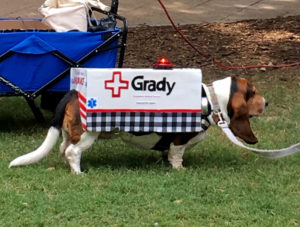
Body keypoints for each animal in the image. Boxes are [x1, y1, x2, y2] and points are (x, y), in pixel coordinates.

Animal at [8, 76, 268, 174]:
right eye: (253, 92)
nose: (267, 102)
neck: (210, 99)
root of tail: (72, 92)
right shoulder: (180, 140)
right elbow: (176, 155)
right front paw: (179, 169)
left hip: (67, 132)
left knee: (64, 149)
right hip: (87, 134)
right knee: (72, 151)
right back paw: (78, 172)